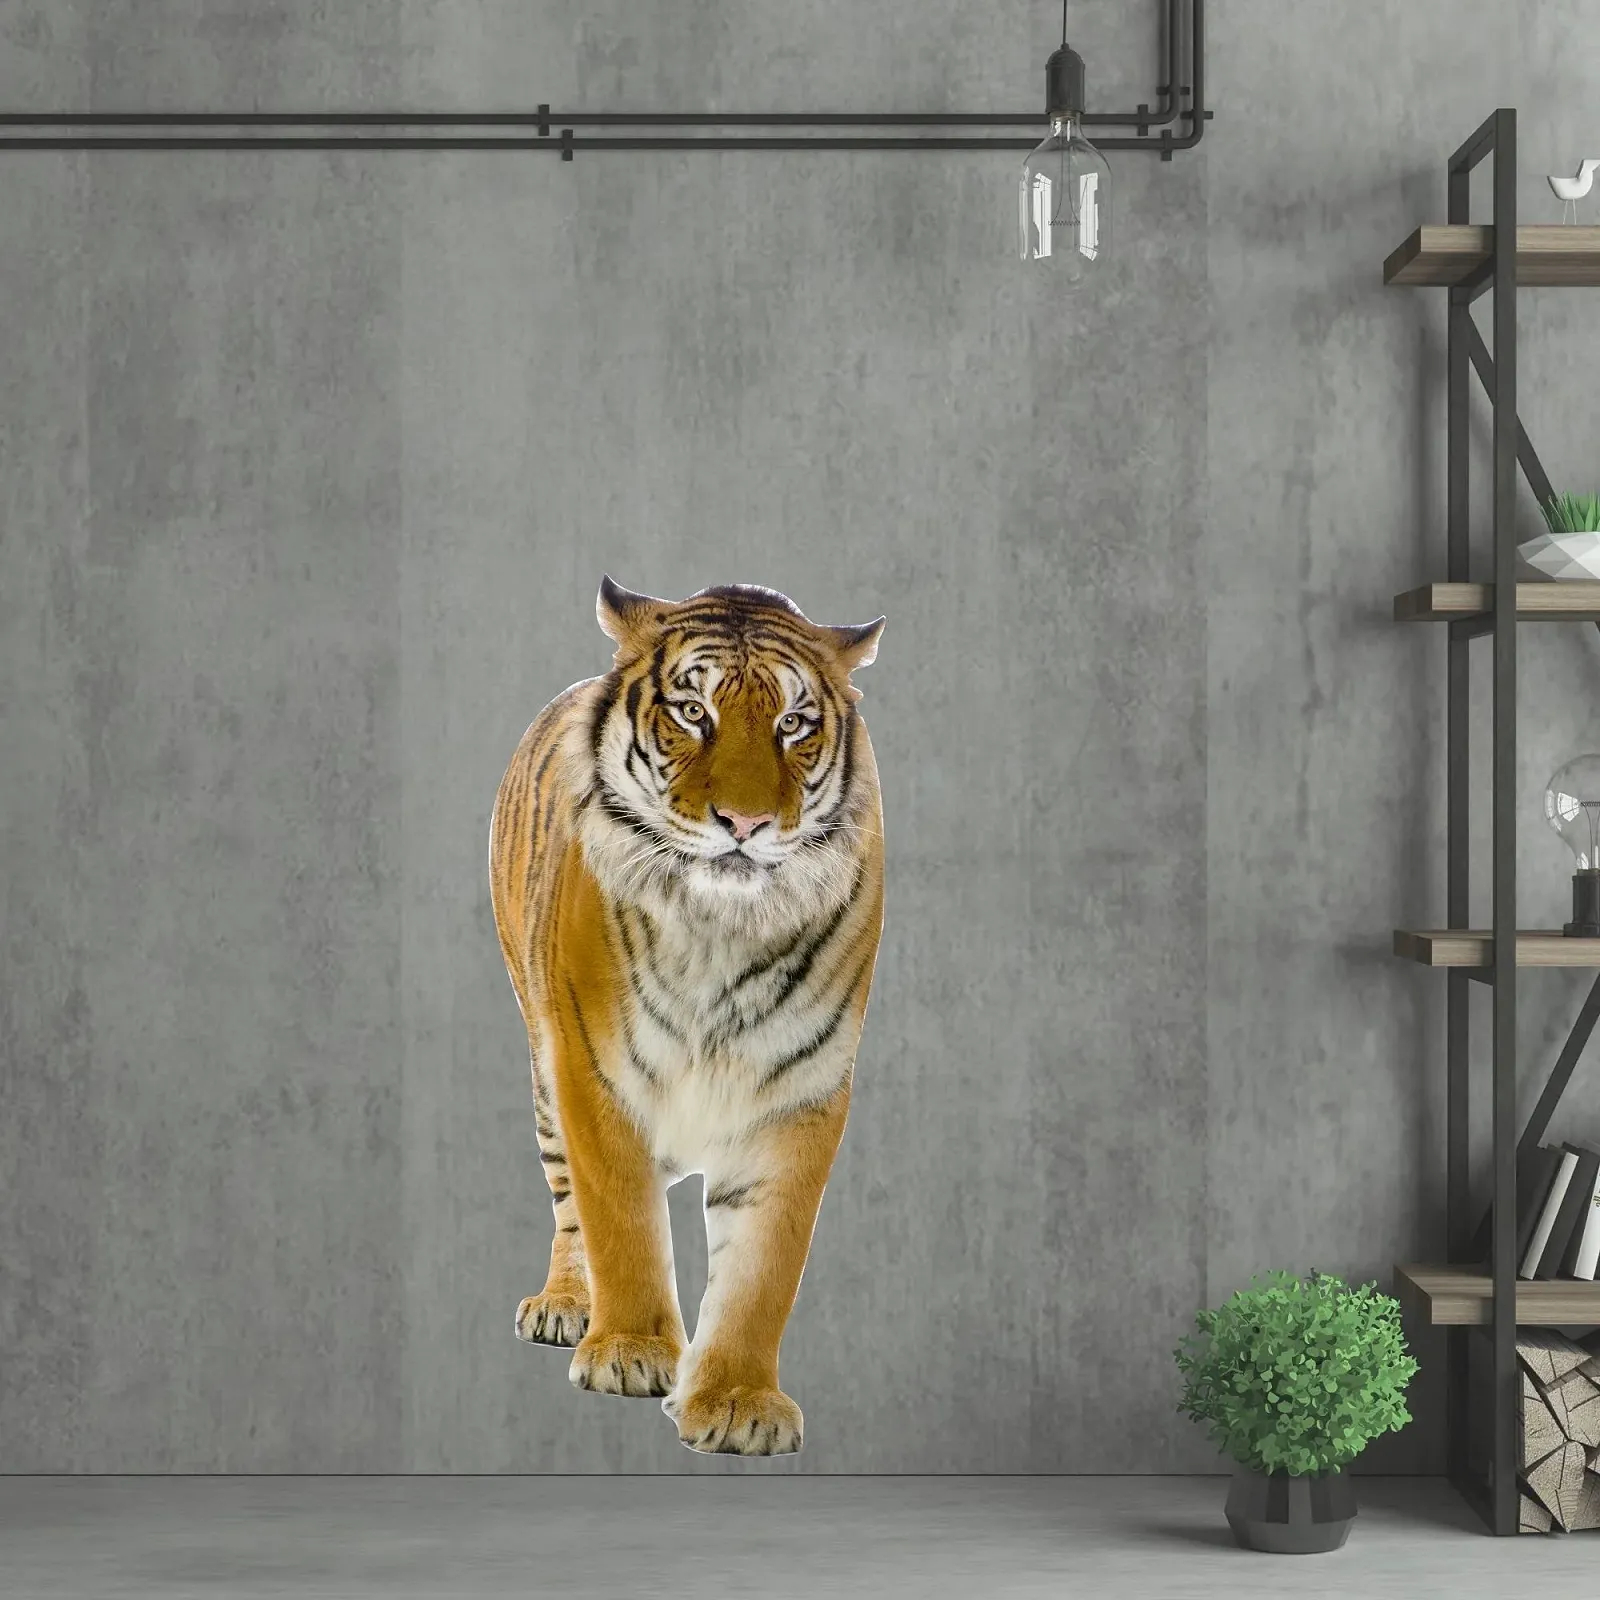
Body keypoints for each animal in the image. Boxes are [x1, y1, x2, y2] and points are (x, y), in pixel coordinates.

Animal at [487, 576, 886, 1456]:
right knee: (568, 1207)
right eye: (693, 712)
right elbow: (621, 1225)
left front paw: (738, 1399)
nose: (745, 825)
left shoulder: (799, 1093)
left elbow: (763, 1268)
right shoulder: (594, 1072)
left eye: (793, 723)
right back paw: (566, 1305)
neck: (719, 930)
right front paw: (630, 1352)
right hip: (541, 1066)